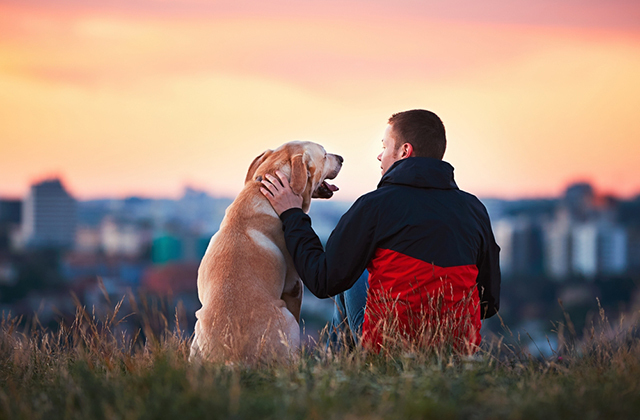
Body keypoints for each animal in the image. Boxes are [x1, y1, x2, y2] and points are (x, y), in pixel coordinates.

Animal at [190, 141, 342, 364]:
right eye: (324, 155)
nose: (341, 158)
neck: (261, 192)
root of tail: (232, 358)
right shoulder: (295, 286)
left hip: (195, 333)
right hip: (287, 319)